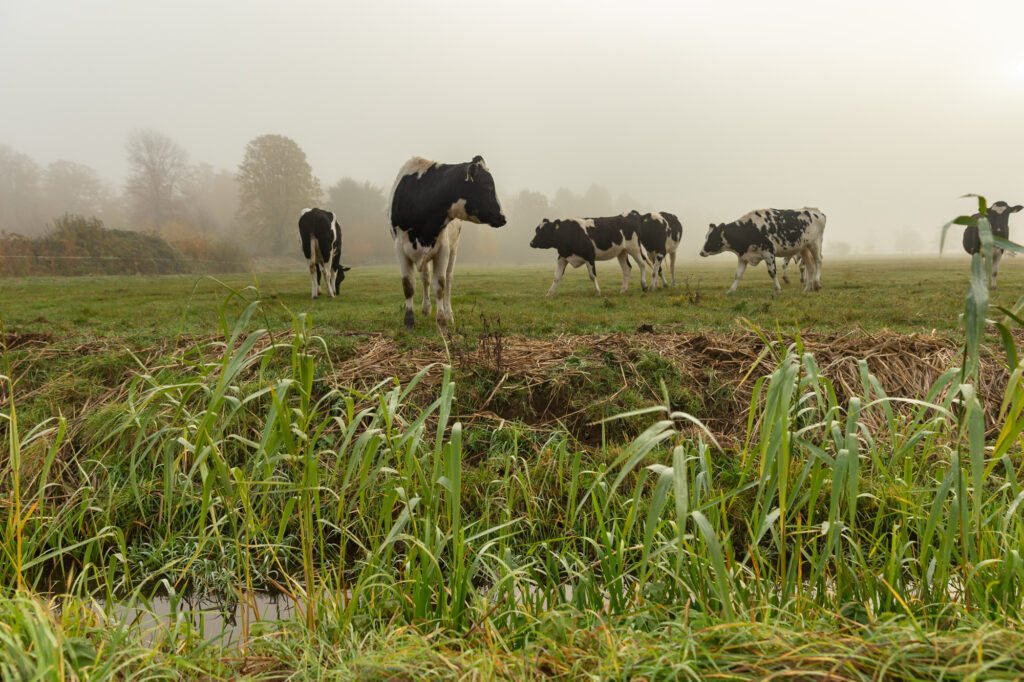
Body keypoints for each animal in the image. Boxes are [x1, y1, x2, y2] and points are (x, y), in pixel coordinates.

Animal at [385, 154, 505, 329]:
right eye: (488, 186)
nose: (503, 217)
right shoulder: (400, 249)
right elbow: (408, 285)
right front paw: (409, 322)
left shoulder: (443, 249)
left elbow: (440, 286)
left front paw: (442, 322)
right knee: (425, 278)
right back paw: (426, 308)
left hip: (453, 249)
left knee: (448, 280)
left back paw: (449, 314)